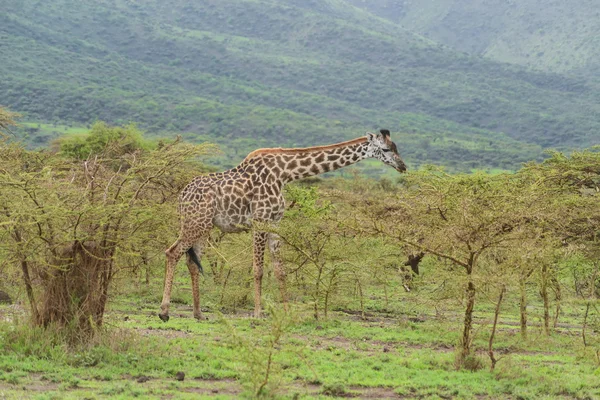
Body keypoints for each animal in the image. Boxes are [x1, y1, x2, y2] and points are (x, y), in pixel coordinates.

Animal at [158, 130, 408, 320]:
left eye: (396, 147)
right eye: (386, 150)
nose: (403, 166)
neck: (285, 173)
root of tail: (181, 196)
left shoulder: (275, 223)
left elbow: (280, 270)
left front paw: (287, 313)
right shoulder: (260, 220)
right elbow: (258, 270)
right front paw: (258, 314)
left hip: (203, 227)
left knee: (191, 261)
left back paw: (198, 313)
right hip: (195, 223)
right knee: (172, 252)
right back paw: (164, 311)